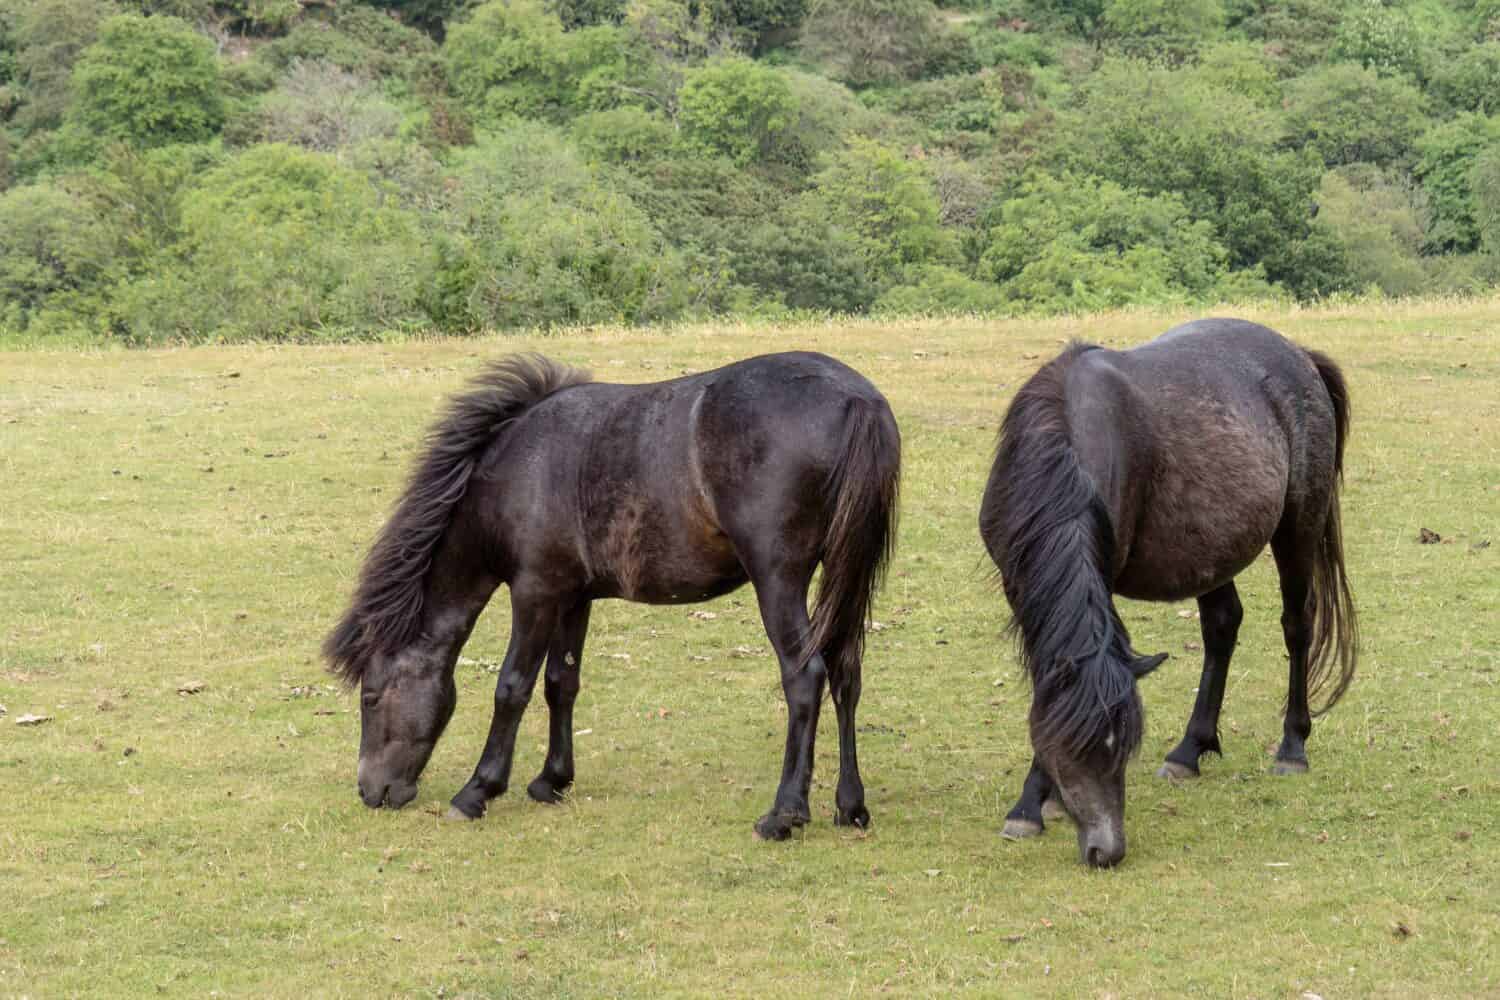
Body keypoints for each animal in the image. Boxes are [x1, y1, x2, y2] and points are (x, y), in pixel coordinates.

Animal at [324, 353, 894, 845]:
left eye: (370, 696)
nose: (370, 791)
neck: (515, 471)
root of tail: (856, 399)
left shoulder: (535, 592)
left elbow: (512, 687)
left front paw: (478, 790)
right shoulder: (573, 597)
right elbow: (561, 684)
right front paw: (551, 780)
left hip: (778, 580)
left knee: (805, 677)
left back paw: (784, 813)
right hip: (842, 577)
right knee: (845, 672)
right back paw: (850, 805)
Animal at [984, 319, 1362, 869]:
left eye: (1121, 746)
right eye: (1074, 746)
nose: (1106, 850)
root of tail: (1300, 356)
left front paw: (1030, 804)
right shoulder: (1020, 585)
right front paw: (1040, 800)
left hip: (1298, 530)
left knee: (1298, 627)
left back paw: (1292, 747)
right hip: (1211, 551)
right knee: (1223, 626)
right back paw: (1189, 751)